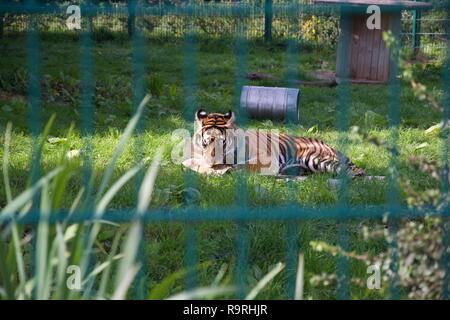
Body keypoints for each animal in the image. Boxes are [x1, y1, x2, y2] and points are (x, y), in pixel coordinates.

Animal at [193, 109, 366, 176]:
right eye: (206, 142)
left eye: (221, 143)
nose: (212, 162)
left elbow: (246, 165)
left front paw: (229, 169)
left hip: (314, 158)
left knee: (355, 171)